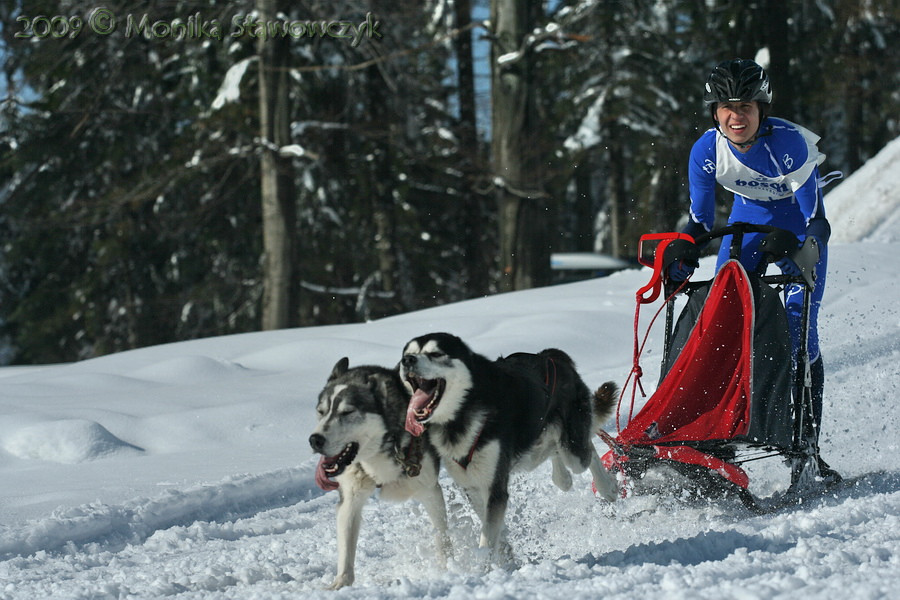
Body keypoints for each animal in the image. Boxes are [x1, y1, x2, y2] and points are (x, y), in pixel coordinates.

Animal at [310, 358, 450, 588]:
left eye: (347, 412)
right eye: (321, 411)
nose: (314, 440)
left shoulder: (430, 491)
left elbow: (442, 537)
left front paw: (447, 569)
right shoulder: (350, 498)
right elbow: (346, 550)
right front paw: (341, 583)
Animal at [400, 332, 620, 564]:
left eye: (435, 353)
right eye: (408, 353)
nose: (407, 361)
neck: (461, 414)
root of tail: (550, 356)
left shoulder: (494, 488)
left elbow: (487, 538)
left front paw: (484, 568)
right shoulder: (472, 486)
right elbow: (494, 532)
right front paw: (506, 561)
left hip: (574, 449)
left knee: (587, 449)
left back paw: (606, 486)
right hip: (535, 447)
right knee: (554, 449)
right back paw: (564, 477)